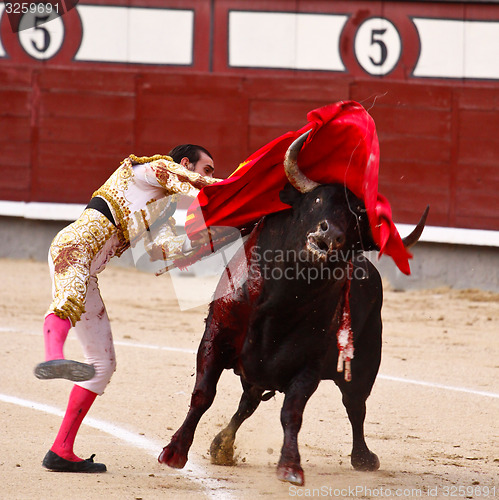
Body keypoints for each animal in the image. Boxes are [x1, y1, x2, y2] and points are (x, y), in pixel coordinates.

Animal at [158, 131, 428, 486]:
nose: (330, 234)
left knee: (355, 406)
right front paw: (175, 451)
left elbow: (292, 412)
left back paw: (363, 457)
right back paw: (222, 446)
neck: (280, 299)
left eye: (356, 220)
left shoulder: (309, 364)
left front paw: (290, 466)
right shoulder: (214, 338)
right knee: (248, 403)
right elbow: (203, 394)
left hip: (366, 361)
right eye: (316, 201)